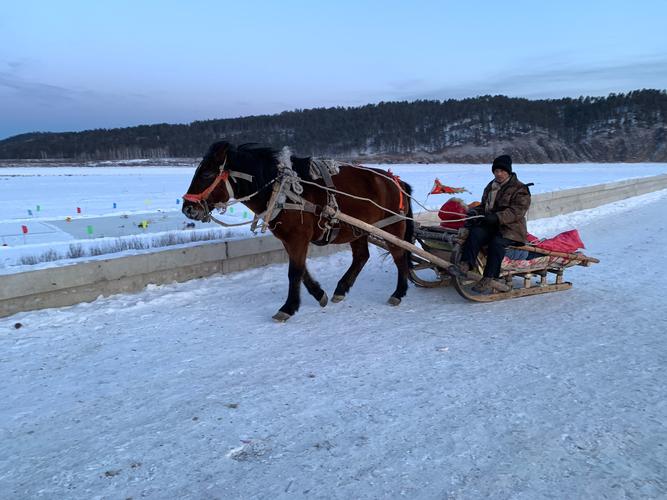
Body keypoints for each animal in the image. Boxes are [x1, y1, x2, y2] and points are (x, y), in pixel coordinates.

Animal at [182, 141, 414, 321]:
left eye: (207, 173)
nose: (187, 209)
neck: (281, 191)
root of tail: (396, 180)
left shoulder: (298, 237)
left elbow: (294, 272)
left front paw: (288, 307)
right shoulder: (288, 239)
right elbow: (301, 270)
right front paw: (319, 294)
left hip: (393, 225)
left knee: (399, 255)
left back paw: (399, 292)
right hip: (357, 228)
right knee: (361, 256)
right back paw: (341, 289)